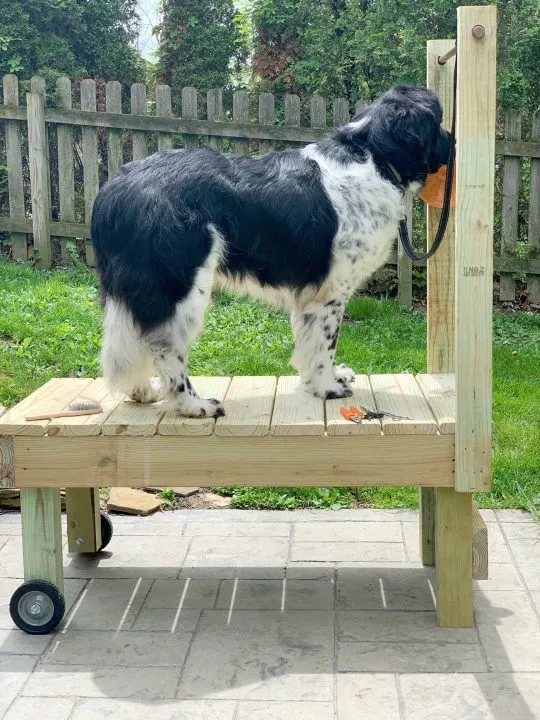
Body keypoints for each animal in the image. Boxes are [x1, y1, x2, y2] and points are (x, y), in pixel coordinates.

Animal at [93, 87, 452, 420]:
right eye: (438, 121)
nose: (454, 143)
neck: (374, 158)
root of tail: (113, 191)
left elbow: (311, 344)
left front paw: (326, 379)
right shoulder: (330, 292)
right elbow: (325, 343)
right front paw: (328, 387)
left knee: (126, 340)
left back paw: (141, 391)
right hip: (181, 287)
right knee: (165, 348)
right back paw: (194, 404)